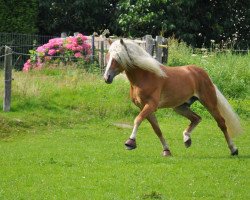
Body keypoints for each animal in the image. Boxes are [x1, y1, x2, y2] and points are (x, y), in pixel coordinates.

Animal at [102, 38, 241, 156]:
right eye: (108, 57)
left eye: (118, 58)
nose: (106, 78)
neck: (145, 77)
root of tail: (202, 73)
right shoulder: (145, 107)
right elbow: (157, 129)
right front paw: (166, 151)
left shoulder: (151, 105)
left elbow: (138, 120)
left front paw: (130, 142)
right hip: (180, 107)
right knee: (196, 118)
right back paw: (187, 139)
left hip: (209, 102)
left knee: (221, 123)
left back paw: (233, 149)